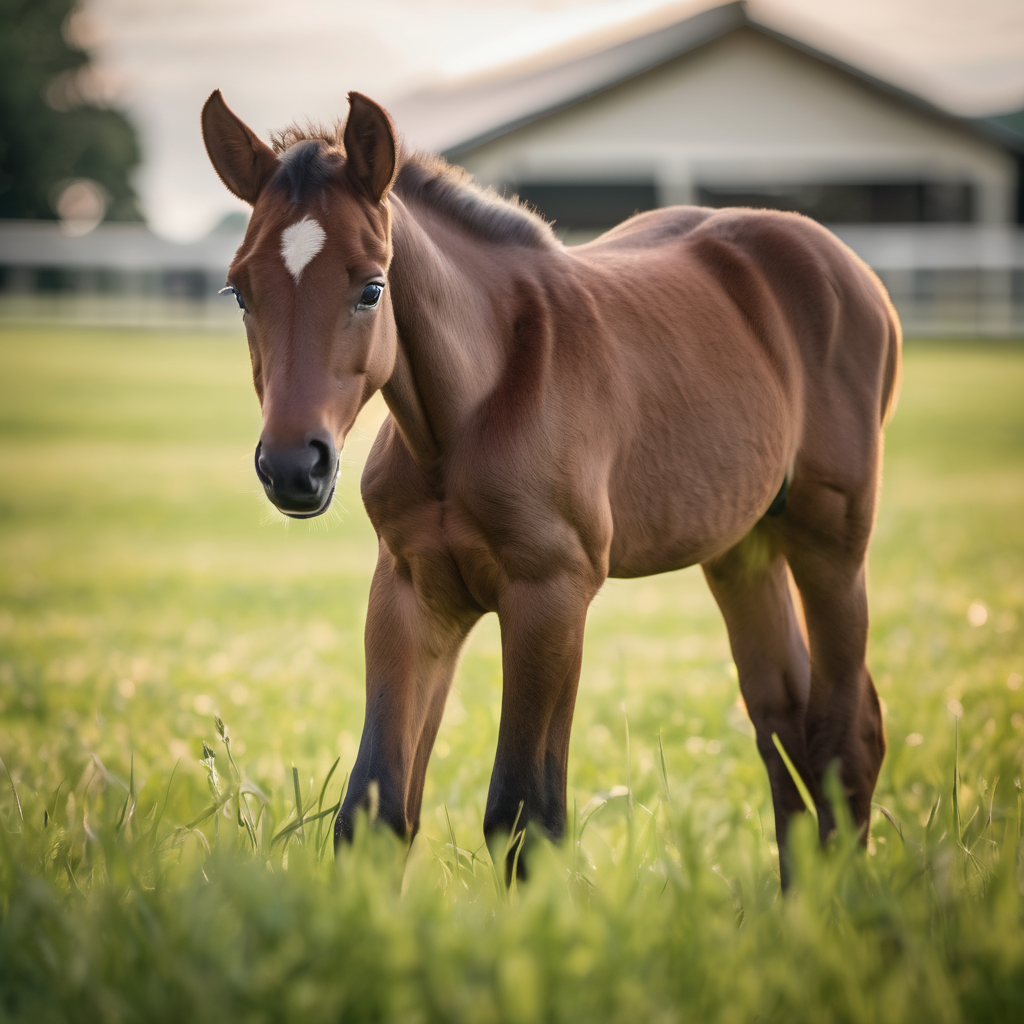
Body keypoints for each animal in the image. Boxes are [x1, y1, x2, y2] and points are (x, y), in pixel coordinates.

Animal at [201, 89, 901, 885]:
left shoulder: (551, 596)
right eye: (239, 291)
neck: (466, 416)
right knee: (782, 724)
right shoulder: (411, 593)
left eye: (371, 288)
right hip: (742, 551)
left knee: (847, 734)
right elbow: (376, 811)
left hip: (832, 545)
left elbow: (525, 818)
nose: (295, 467)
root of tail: (847, 266)